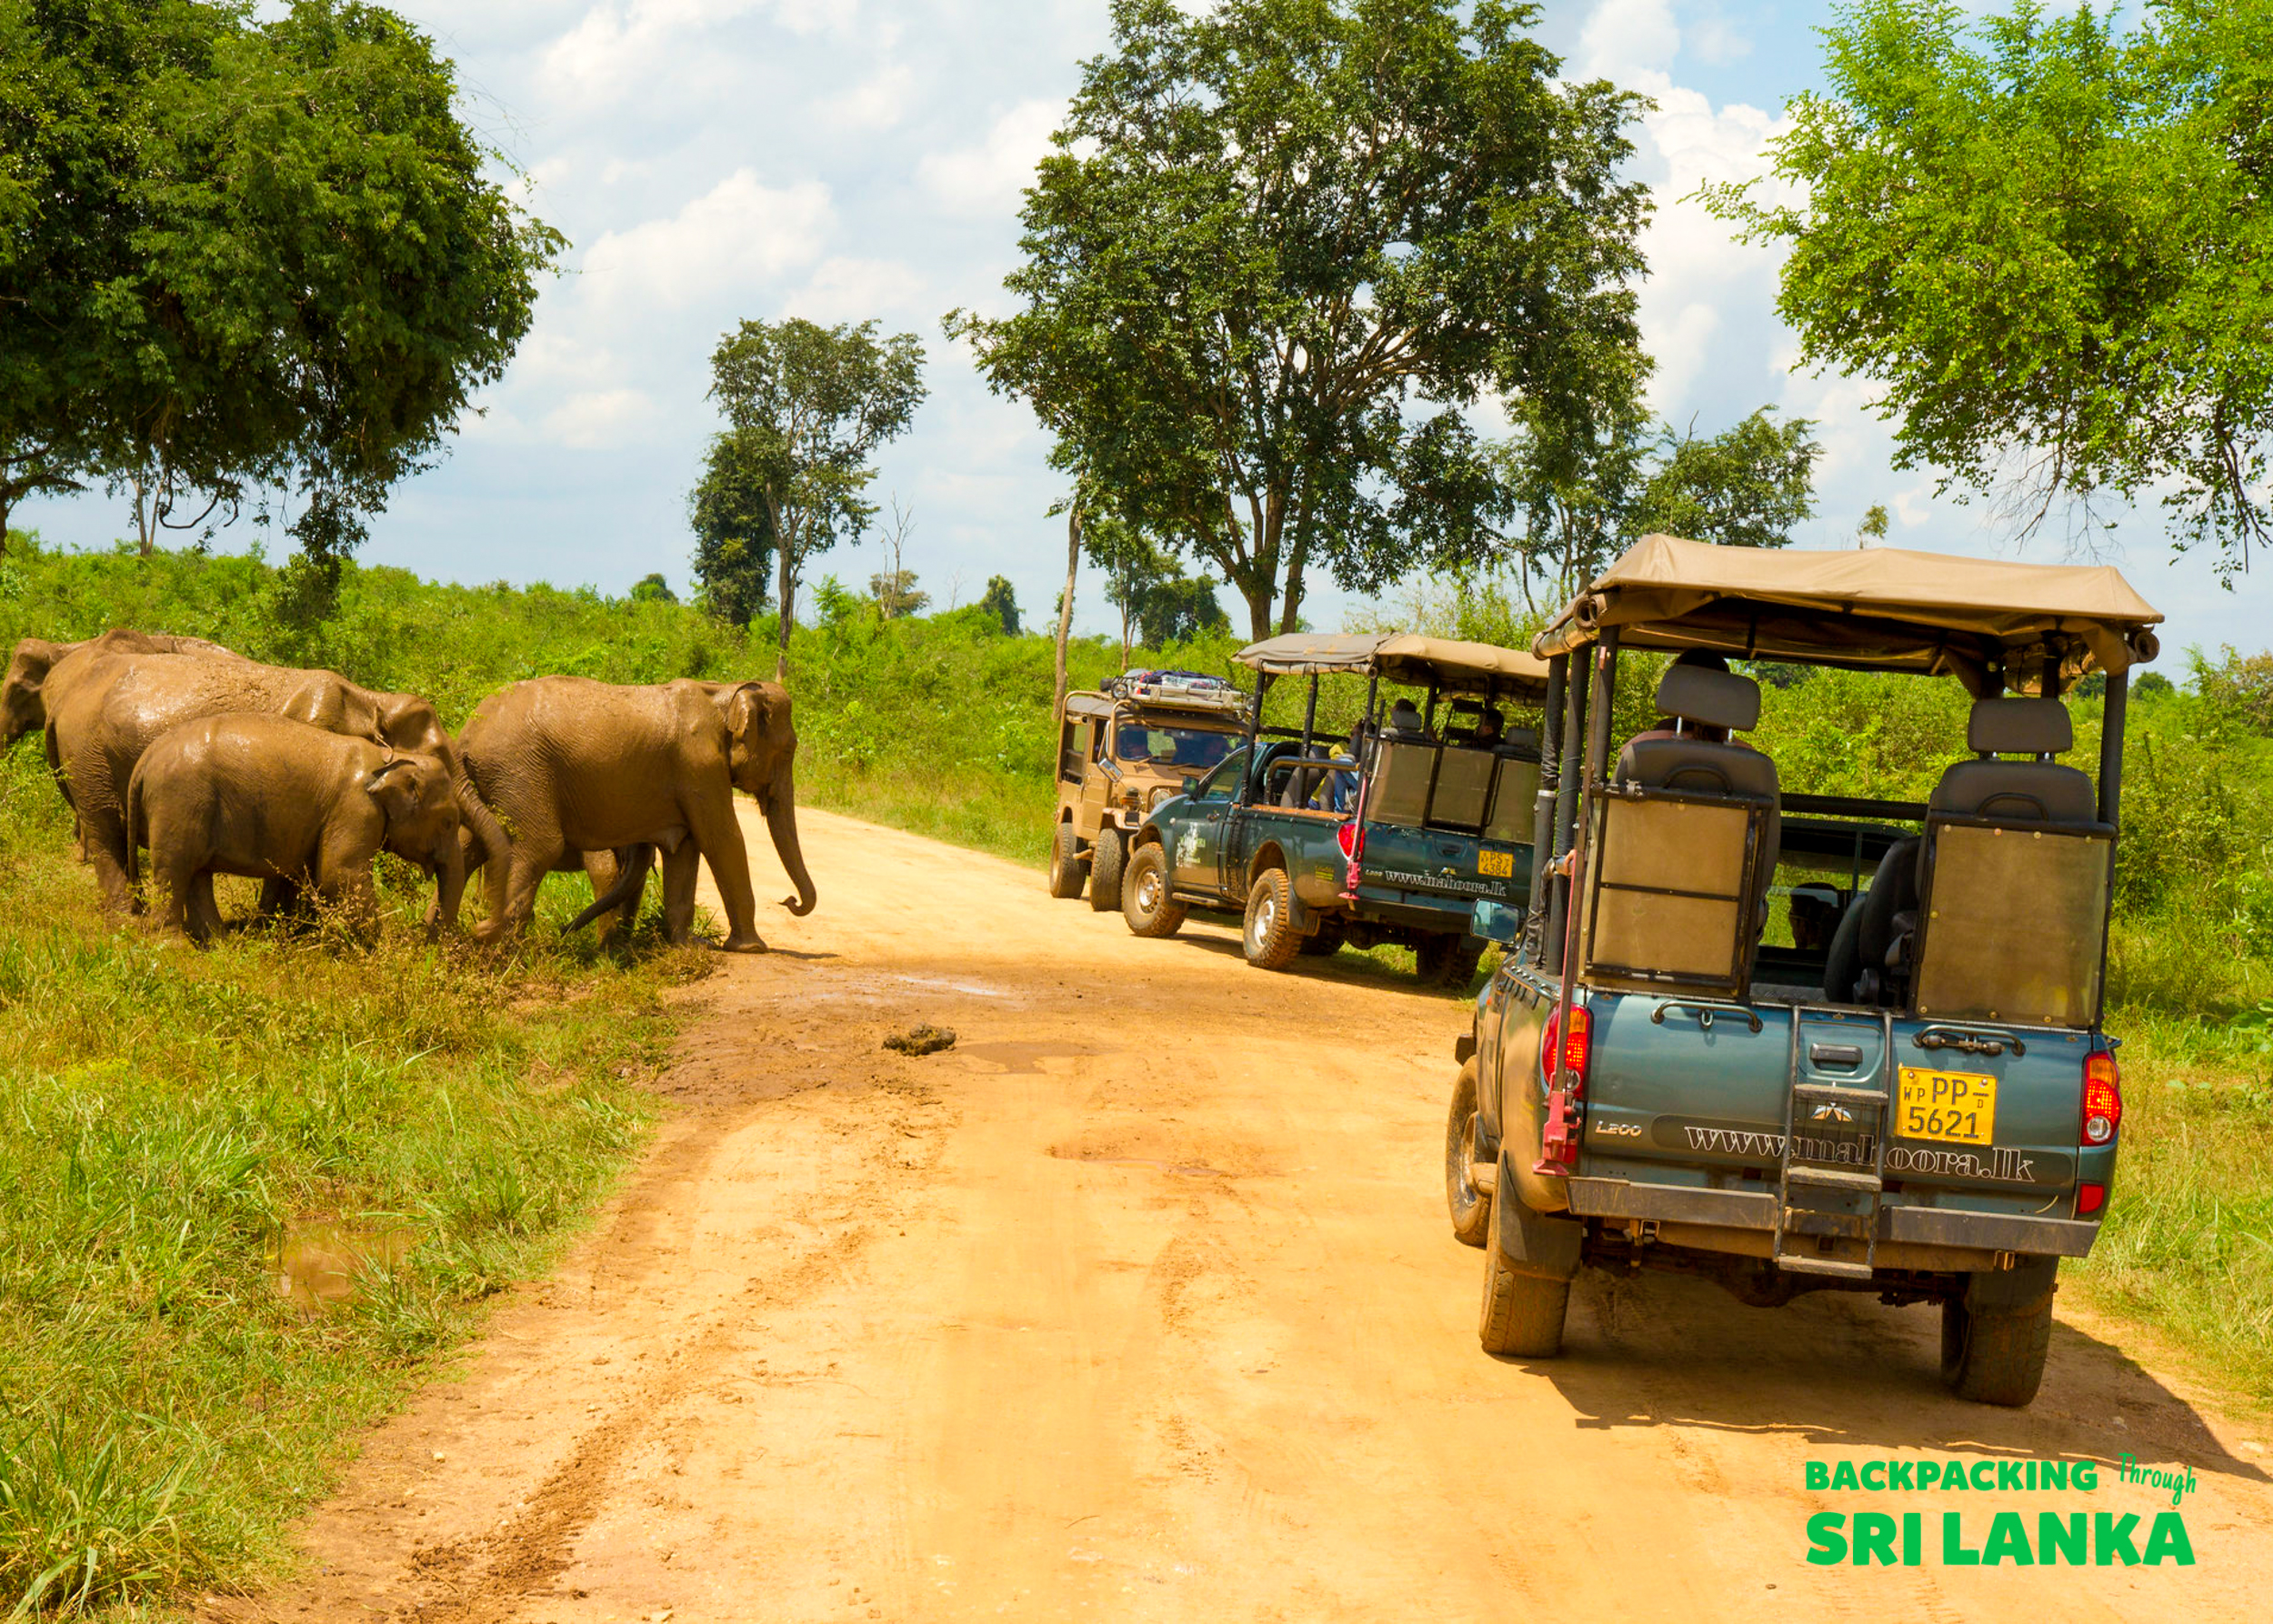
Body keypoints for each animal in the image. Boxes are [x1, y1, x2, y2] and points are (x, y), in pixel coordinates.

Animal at [125, 713, 464, 943]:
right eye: (448, 821)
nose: (425, 939)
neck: (390, 759)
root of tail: (146, 757)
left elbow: (321, 875)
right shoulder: (355, 808)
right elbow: (340, 873)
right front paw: (377, 946)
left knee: (197, 873)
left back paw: (221, 943)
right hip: (179, 800)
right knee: (174, 870)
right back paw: (175, 946)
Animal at [455, 676, 815, 949]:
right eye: (788, 751)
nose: (789, 901)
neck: (725, 692)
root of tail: (466, 735)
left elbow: (684, 848)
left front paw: (687, 945)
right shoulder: (700, 766)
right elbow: (722, 839)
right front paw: (752, 948)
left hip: (496, 780)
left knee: (469, 846)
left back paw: (451, 937)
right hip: (519, 772)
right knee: (538, 847)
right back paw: (501, 947)